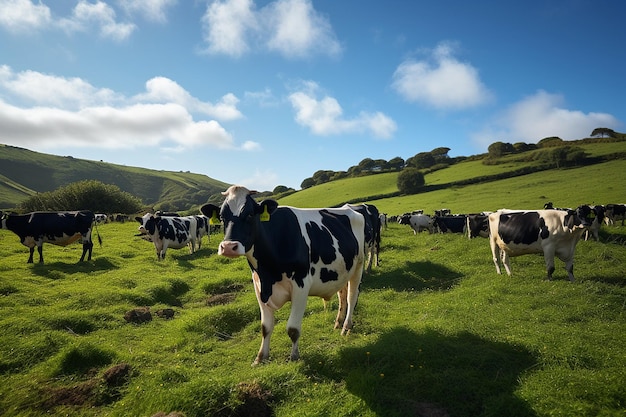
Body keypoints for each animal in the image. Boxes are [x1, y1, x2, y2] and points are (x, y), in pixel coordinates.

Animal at [200, 185, 366, 364]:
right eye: (222, 217)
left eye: (250, 214)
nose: (229, 247)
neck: (268, 272)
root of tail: (349, 208)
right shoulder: (259, 286)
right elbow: (265, 327)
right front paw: (260, 358)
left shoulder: (301, 286)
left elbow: (293, 328)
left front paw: (294, 357)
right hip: (341, 271)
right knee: (342, 295)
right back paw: (338, 323)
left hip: (358, 265)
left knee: (351, 296)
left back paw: (346, 327)